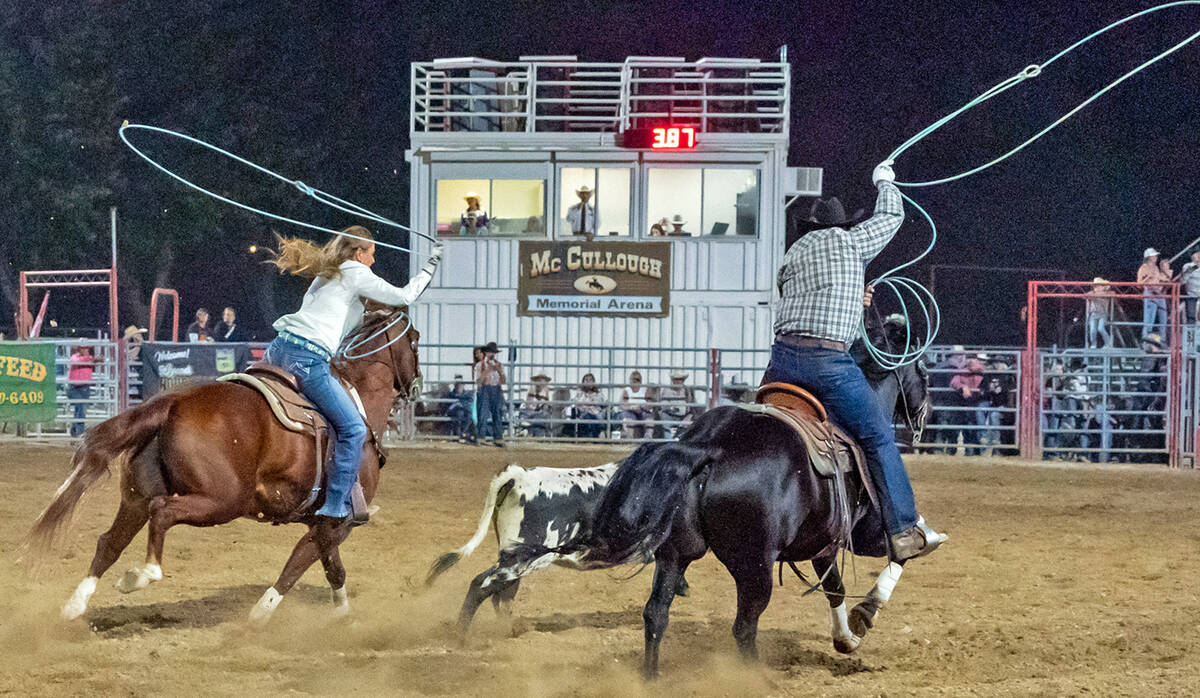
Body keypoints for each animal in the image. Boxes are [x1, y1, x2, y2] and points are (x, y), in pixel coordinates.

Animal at [29, 309, 422, 628]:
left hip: (137, 498)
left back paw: (74, 606)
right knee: (163, 513)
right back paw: (143, 575)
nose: (416, 384)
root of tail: (174, 402)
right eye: (416, 340)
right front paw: (264, 614)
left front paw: (340, 615)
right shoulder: (338, 522)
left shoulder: (323, 522)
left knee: (109, 543)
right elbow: (302, 564)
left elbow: (330, 566)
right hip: (221, 502)